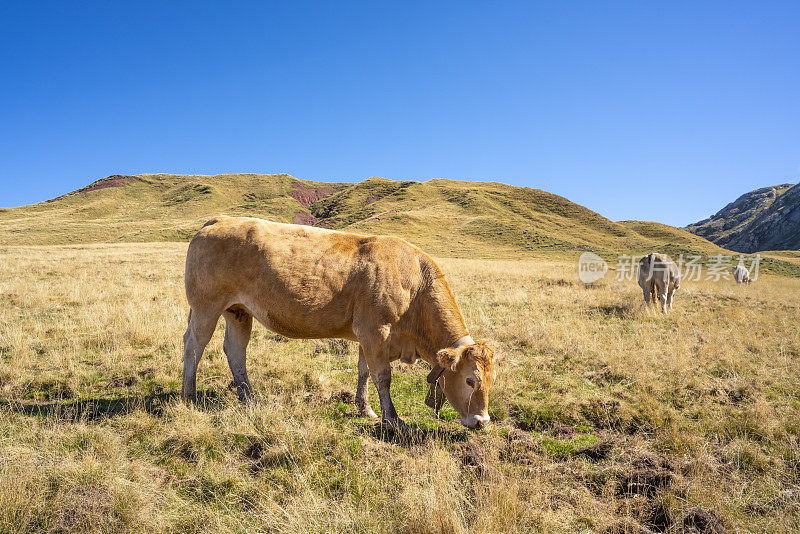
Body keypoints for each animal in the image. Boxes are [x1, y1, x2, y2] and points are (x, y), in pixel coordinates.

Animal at [183, 216, 494, 430]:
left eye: (491, 381)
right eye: (470, 380)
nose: (482, 421)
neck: (413, 284)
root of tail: (218, 220)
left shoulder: (366, 336)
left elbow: (364, 372)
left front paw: (365, 409)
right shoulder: (375, 331)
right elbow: (383, 376)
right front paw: (392, 419)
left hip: (238, 311)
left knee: (236, 351)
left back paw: (249, 398)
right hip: (206, 306)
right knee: (194, 346)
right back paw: (189, 394)